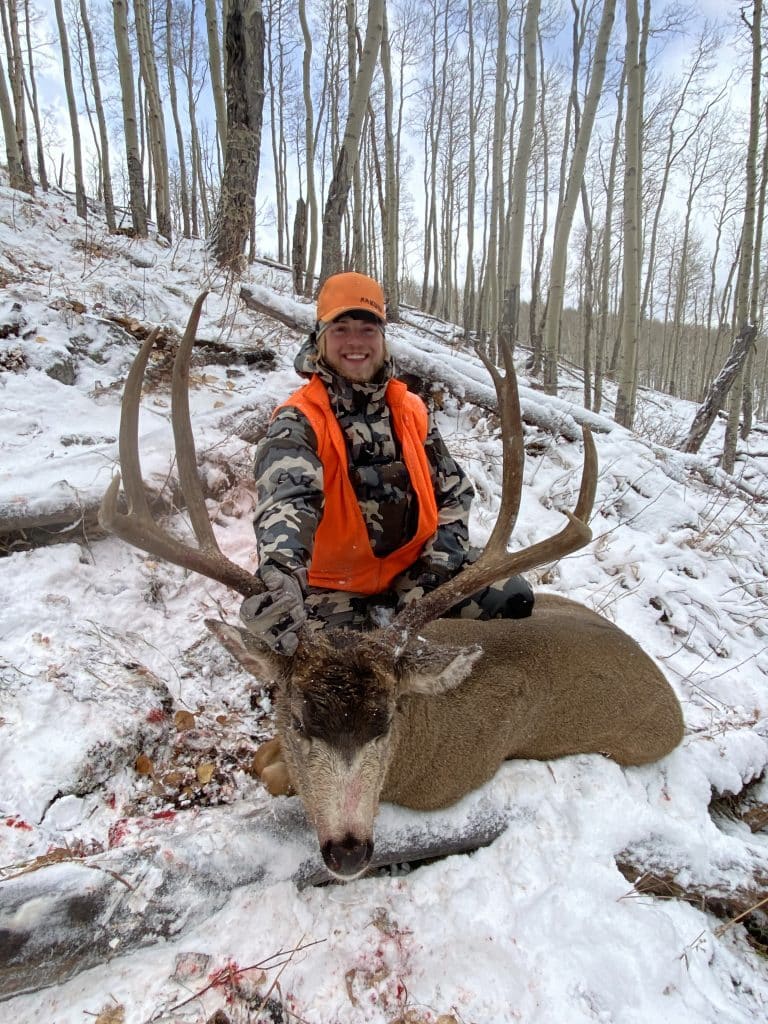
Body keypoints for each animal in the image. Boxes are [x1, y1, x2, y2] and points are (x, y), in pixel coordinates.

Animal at [100, 293, 684, 882]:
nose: (349, 850)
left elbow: (273, 774)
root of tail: (676, 709)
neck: (415, 743)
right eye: (298, 718)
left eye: (385, 721)